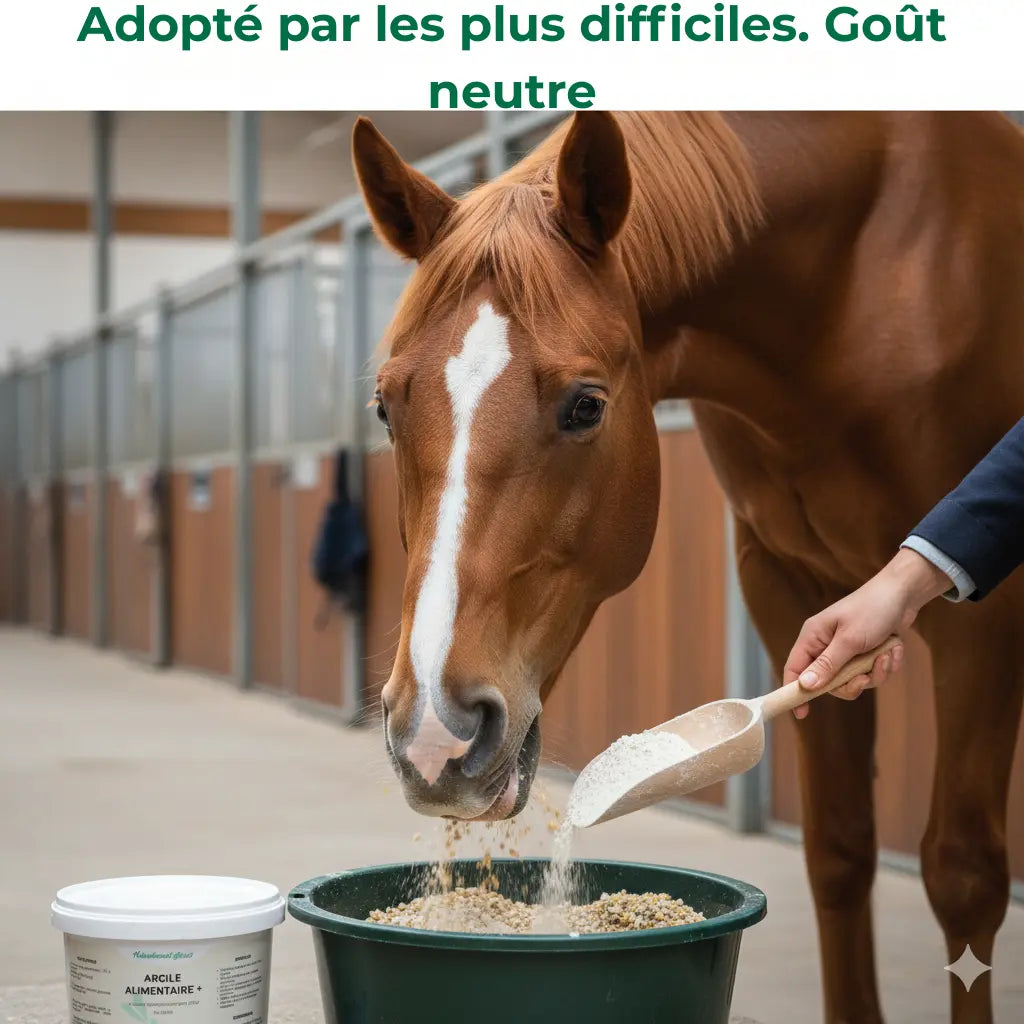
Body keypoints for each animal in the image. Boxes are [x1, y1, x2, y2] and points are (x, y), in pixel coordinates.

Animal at [351, 110, 1024, 1023]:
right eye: (385, 406)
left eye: (586, 406)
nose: (435, 738)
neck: (862, 275)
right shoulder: (791, 587)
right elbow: (839, 850)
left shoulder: (983, 617)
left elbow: (962, 875)